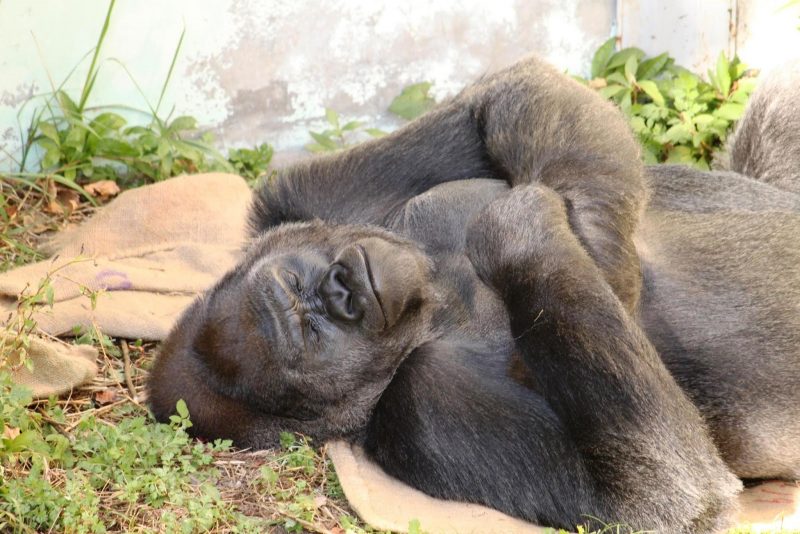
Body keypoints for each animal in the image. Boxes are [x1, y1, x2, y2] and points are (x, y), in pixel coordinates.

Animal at [147, 56, 800, 532]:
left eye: (298, 283)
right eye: (309, 332)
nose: (343, 288)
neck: (435, 301)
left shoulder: (298, 202)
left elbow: (514, 93)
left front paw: (597, 240)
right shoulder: (422, 406)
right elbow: (660, 495)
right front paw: (524, 231)